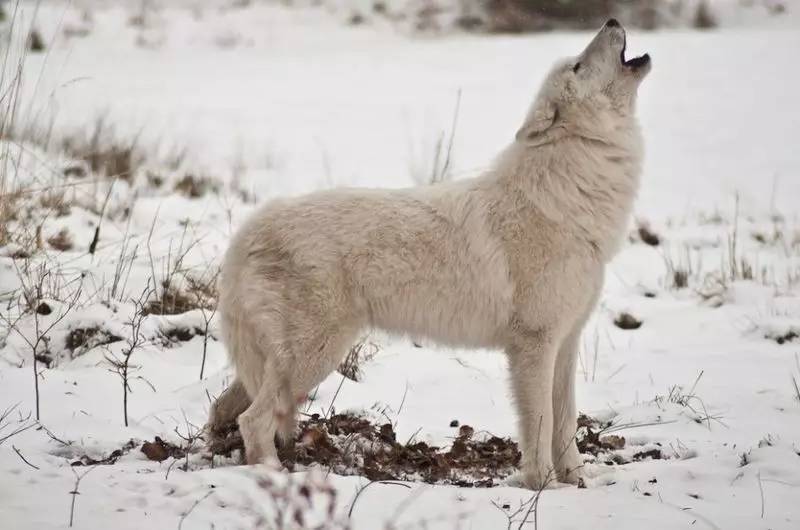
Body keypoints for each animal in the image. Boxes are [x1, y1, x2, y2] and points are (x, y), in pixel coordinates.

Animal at [206, 17, 648, 486]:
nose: (612, 20)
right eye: (578, 66)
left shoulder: (565, 342)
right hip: (314, 358)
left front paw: (578, 480)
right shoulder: (534, 345)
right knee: (253, 420)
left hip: (284, 362)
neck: (568, 194)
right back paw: (273, 476)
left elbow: (566, 423)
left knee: (223, 408)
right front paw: (542, 484)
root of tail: (250, 228)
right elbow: (541, 426)